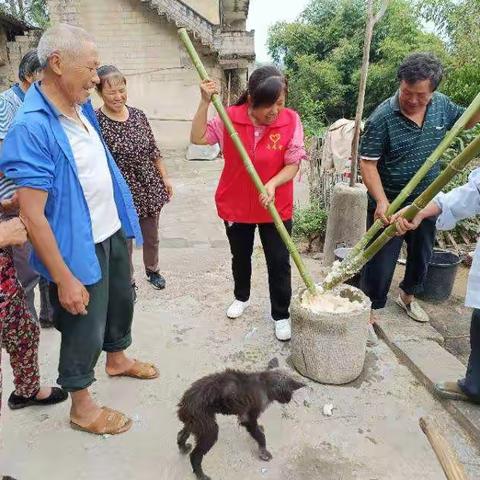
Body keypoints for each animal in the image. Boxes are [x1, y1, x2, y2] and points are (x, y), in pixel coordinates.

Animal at [176, 366, 304, 478]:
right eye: (290, 393)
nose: (288, 401)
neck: (265, 384)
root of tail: (185, 403)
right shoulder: (247, 418)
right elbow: (260, 436)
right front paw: (263, 452)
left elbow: (258, 430)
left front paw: (260, 430)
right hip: (209, 431)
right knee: (195, 456)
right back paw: (201, 475)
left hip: (195, 424)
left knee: (181, 434)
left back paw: (183, 448)